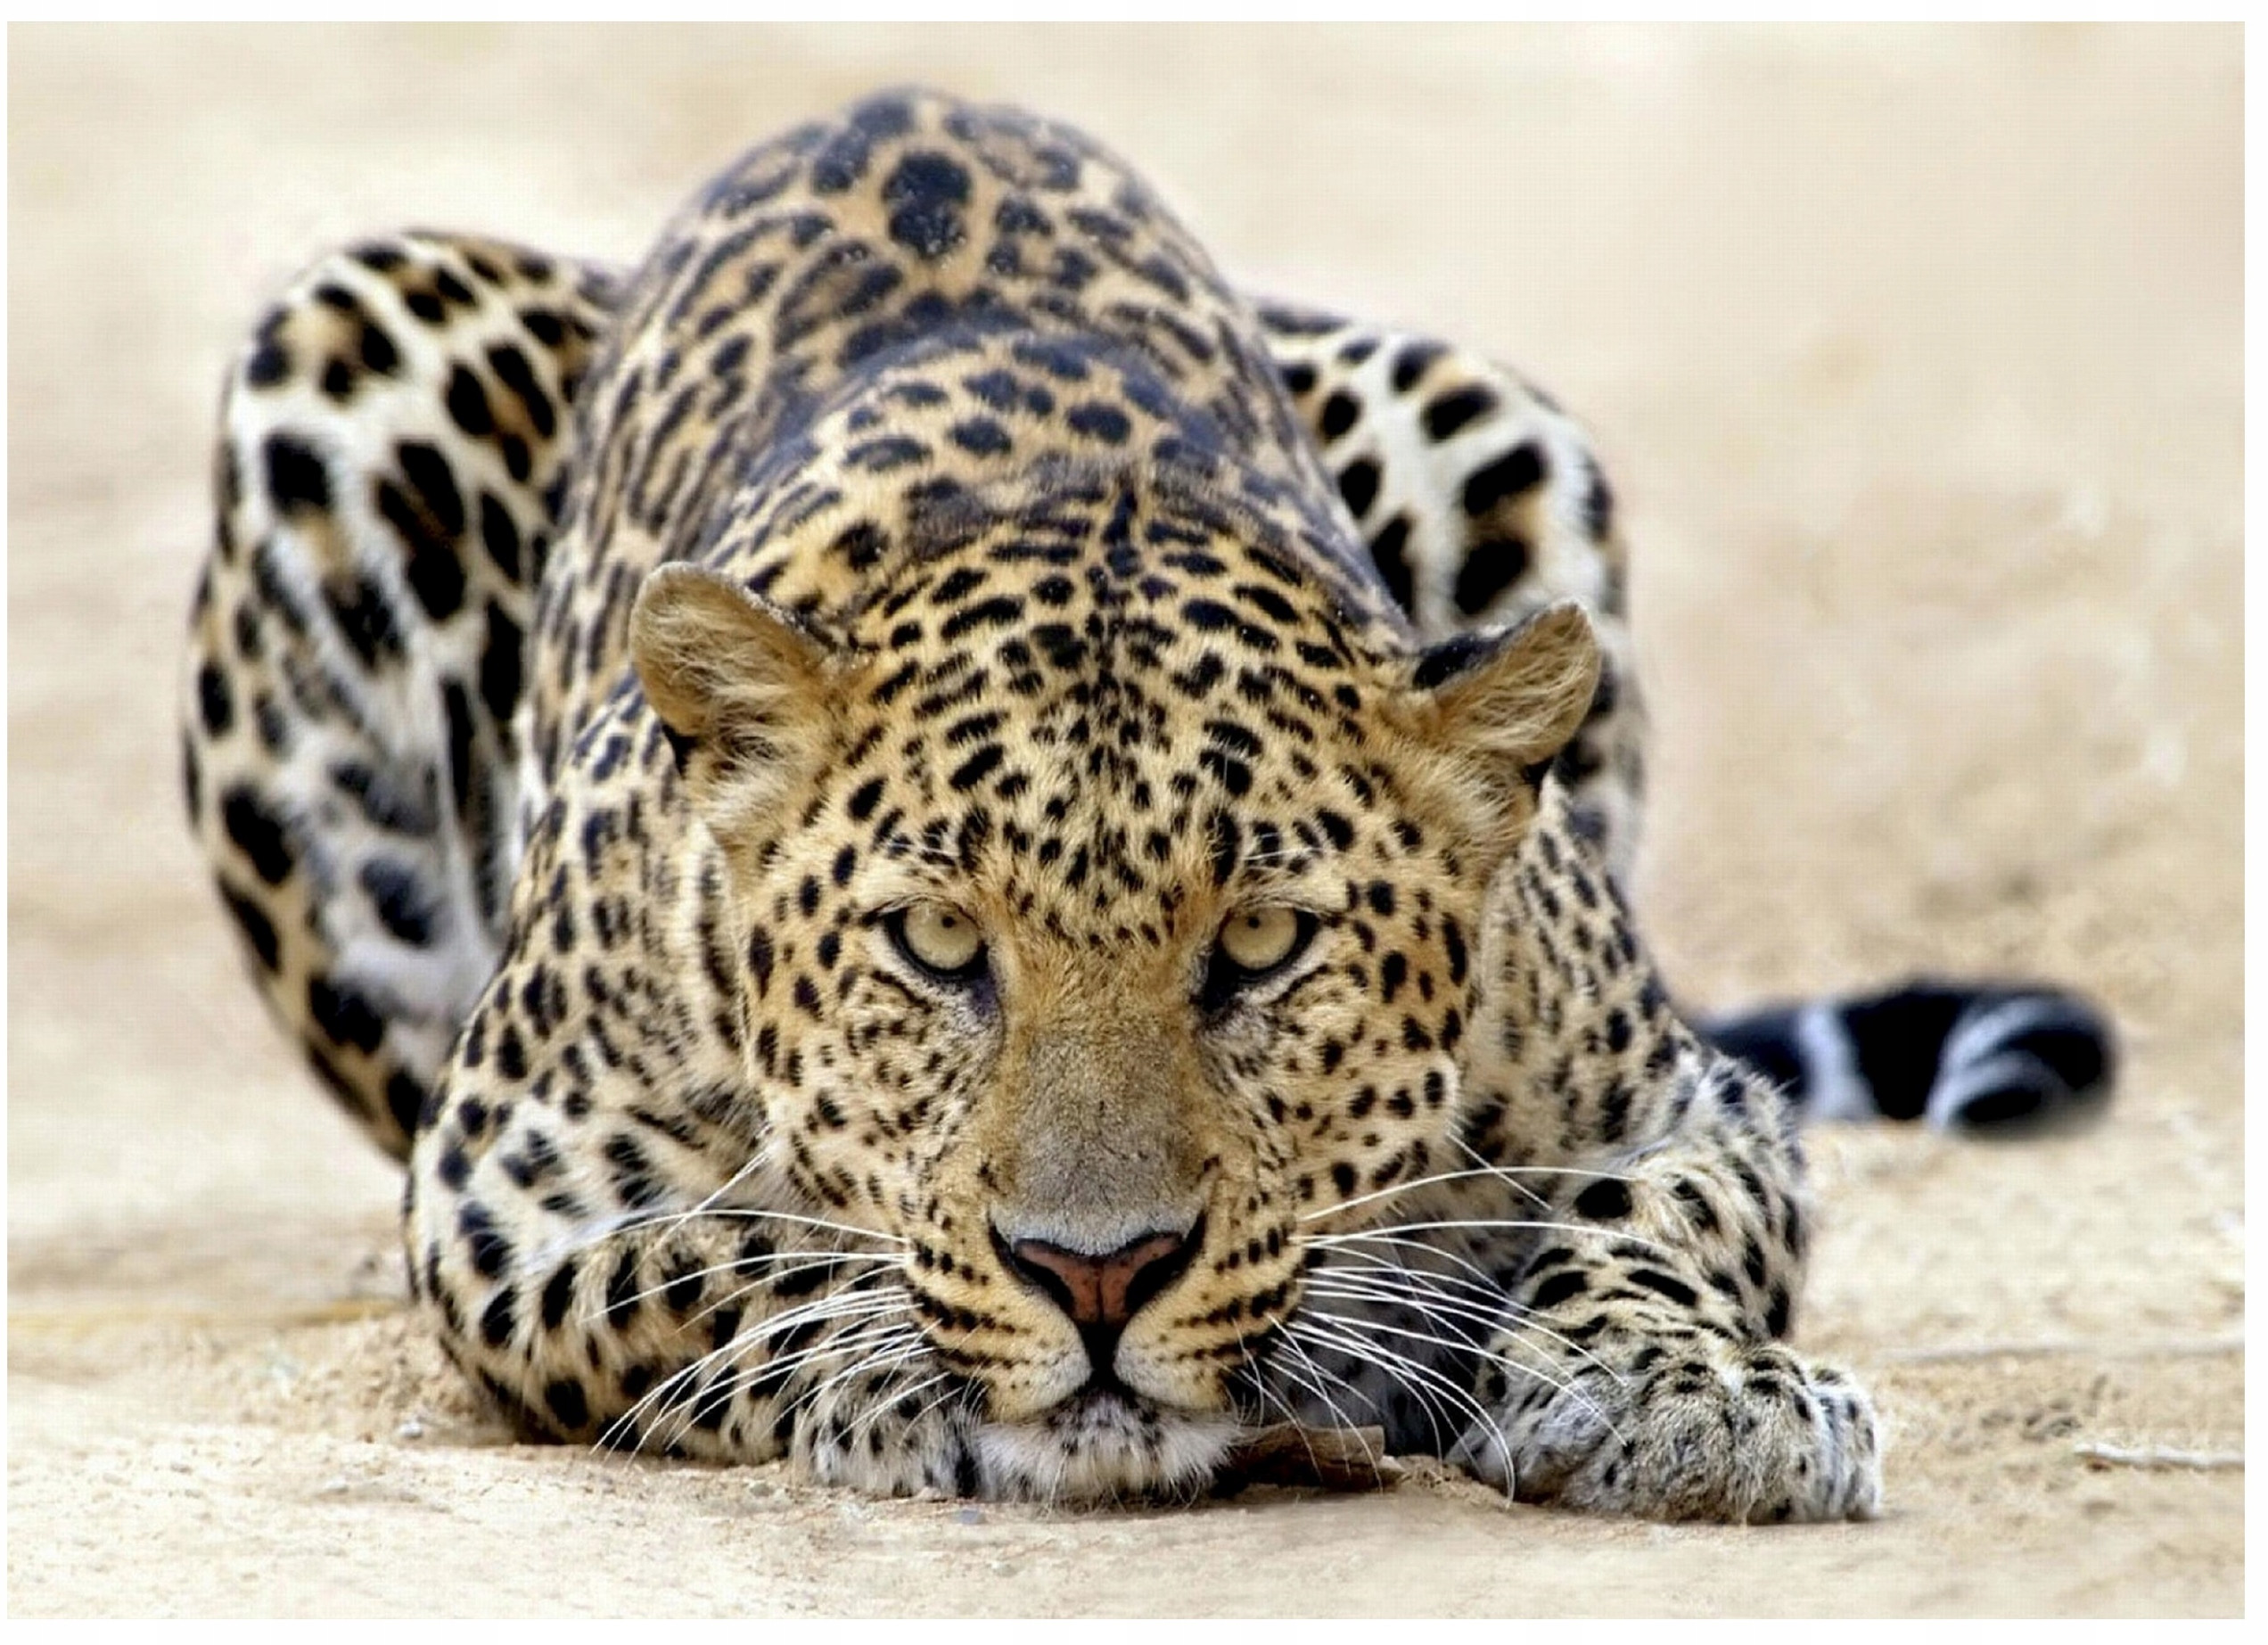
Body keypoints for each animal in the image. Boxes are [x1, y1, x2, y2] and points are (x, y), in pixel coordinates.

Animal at [181, 88, 2116, 1518]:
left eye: (1258, 946)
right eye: (935, 942)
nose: (1097, 1275)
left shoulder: (1681, 1099)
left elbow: (1660, 1226)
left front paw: (1683, 1387)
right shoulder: (508, 1188)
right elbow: (730, 1251)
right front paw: (895, 1357)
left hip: (1487, 412)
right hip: (345, 341)